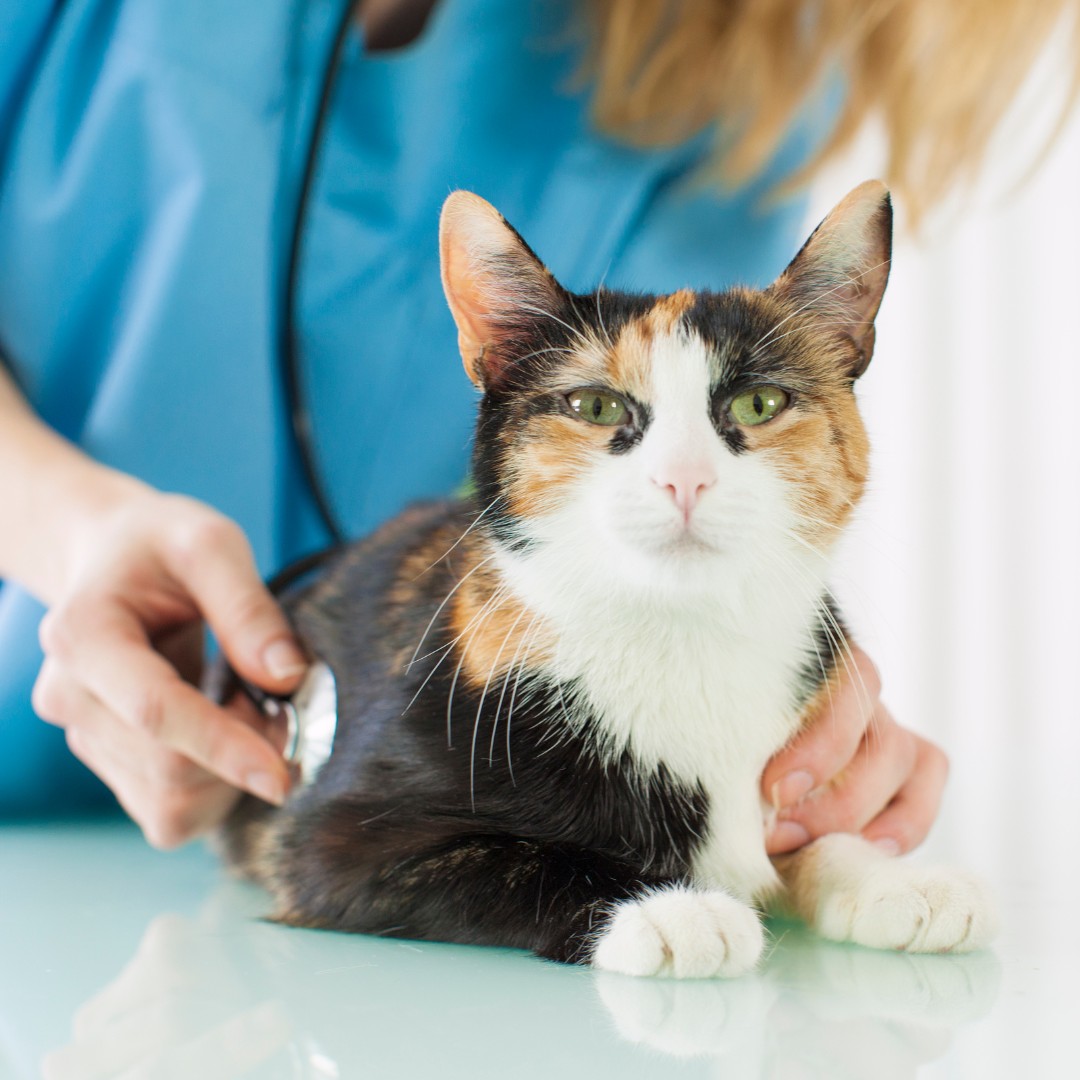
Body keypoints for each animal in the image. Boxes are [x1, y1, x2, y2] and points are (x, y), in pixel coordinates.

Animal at [219, 181, 993, 976]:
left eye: (759, 403)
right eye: (594, 406)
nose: (684, 478)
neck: (683, 639)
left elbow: (812, 833)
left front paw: (888, 877)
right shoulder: (329, 841)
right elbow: (523, 859)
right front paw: (668, 908)